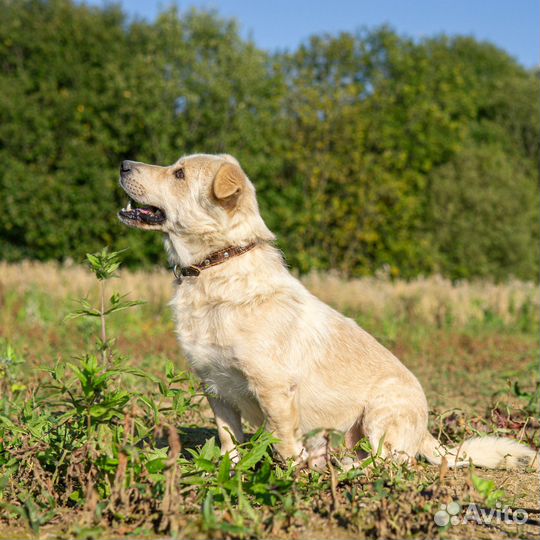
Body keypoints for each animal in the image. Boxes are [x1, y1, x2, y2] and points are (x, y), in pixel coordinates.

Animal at [118, 152, 540, 468]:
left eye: (179, 173)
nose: (123, 163)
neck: (214, 268)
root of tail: (427, 432)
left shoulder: (274, 389)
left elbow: (285, 445)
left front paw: (290, 482)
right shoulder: (215, 387)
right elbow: (229, 443)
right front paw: (228, 474)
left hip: (380, 411)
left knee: (387, 462)